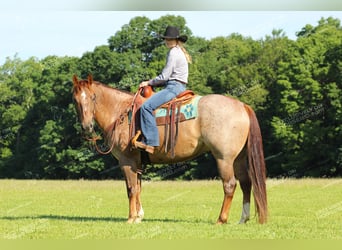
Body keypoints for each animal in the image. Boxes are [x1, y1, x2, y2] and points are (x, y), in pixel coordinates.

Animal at [73, 74, 268, 225]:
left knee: (230, 185)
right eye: (75, 100)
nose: (87, 127)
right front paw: (139, 217)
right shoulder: (137, 163)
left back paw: (221, 219)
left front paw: (131, 218)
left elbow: (131, 189)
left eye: (92, 97)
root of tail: (242, 106)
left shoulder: (127, 161)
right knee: (246, 183)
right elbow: (139, 187)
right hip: (239, 158)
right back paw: (242, 219)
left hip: (224, 159)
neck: (121, 112)